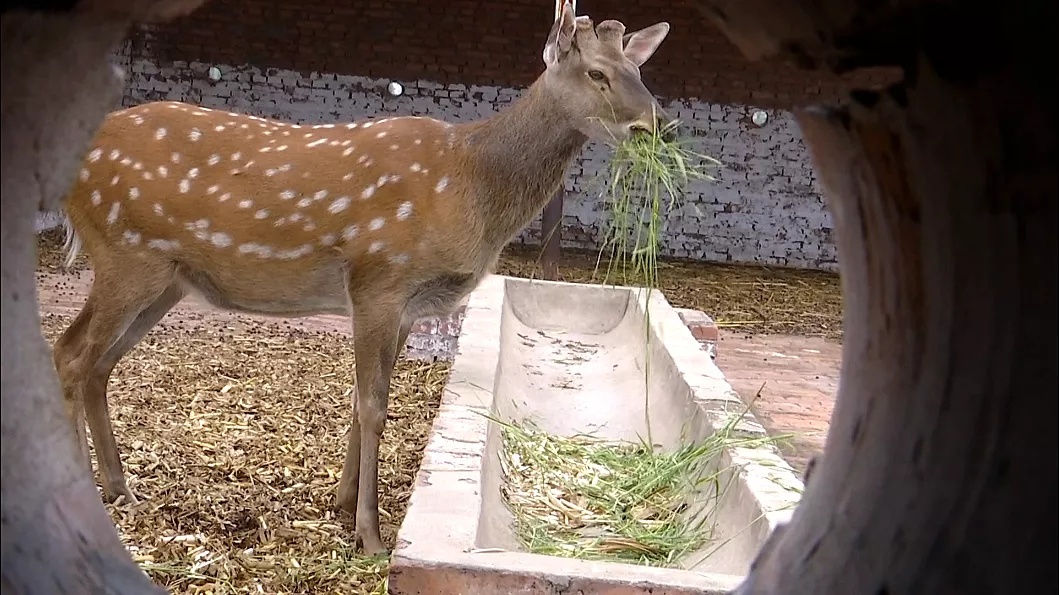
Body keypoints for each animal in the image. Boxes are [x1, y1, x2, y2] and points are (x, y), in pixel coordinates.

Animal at [51, 2, 669, 554]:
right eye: (596, 73)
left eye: (640, 71)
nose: (653, 125)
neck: (469, 182)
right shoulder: (379, 278)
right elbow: (373, 405)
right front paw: (369, 534)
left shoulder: (407, 305)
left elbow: (359, 398)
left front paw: (341, 502)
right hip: (124, 254)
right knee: (72, 353)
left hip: (166, 279)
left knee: (96, 363)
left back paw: (120, 489)